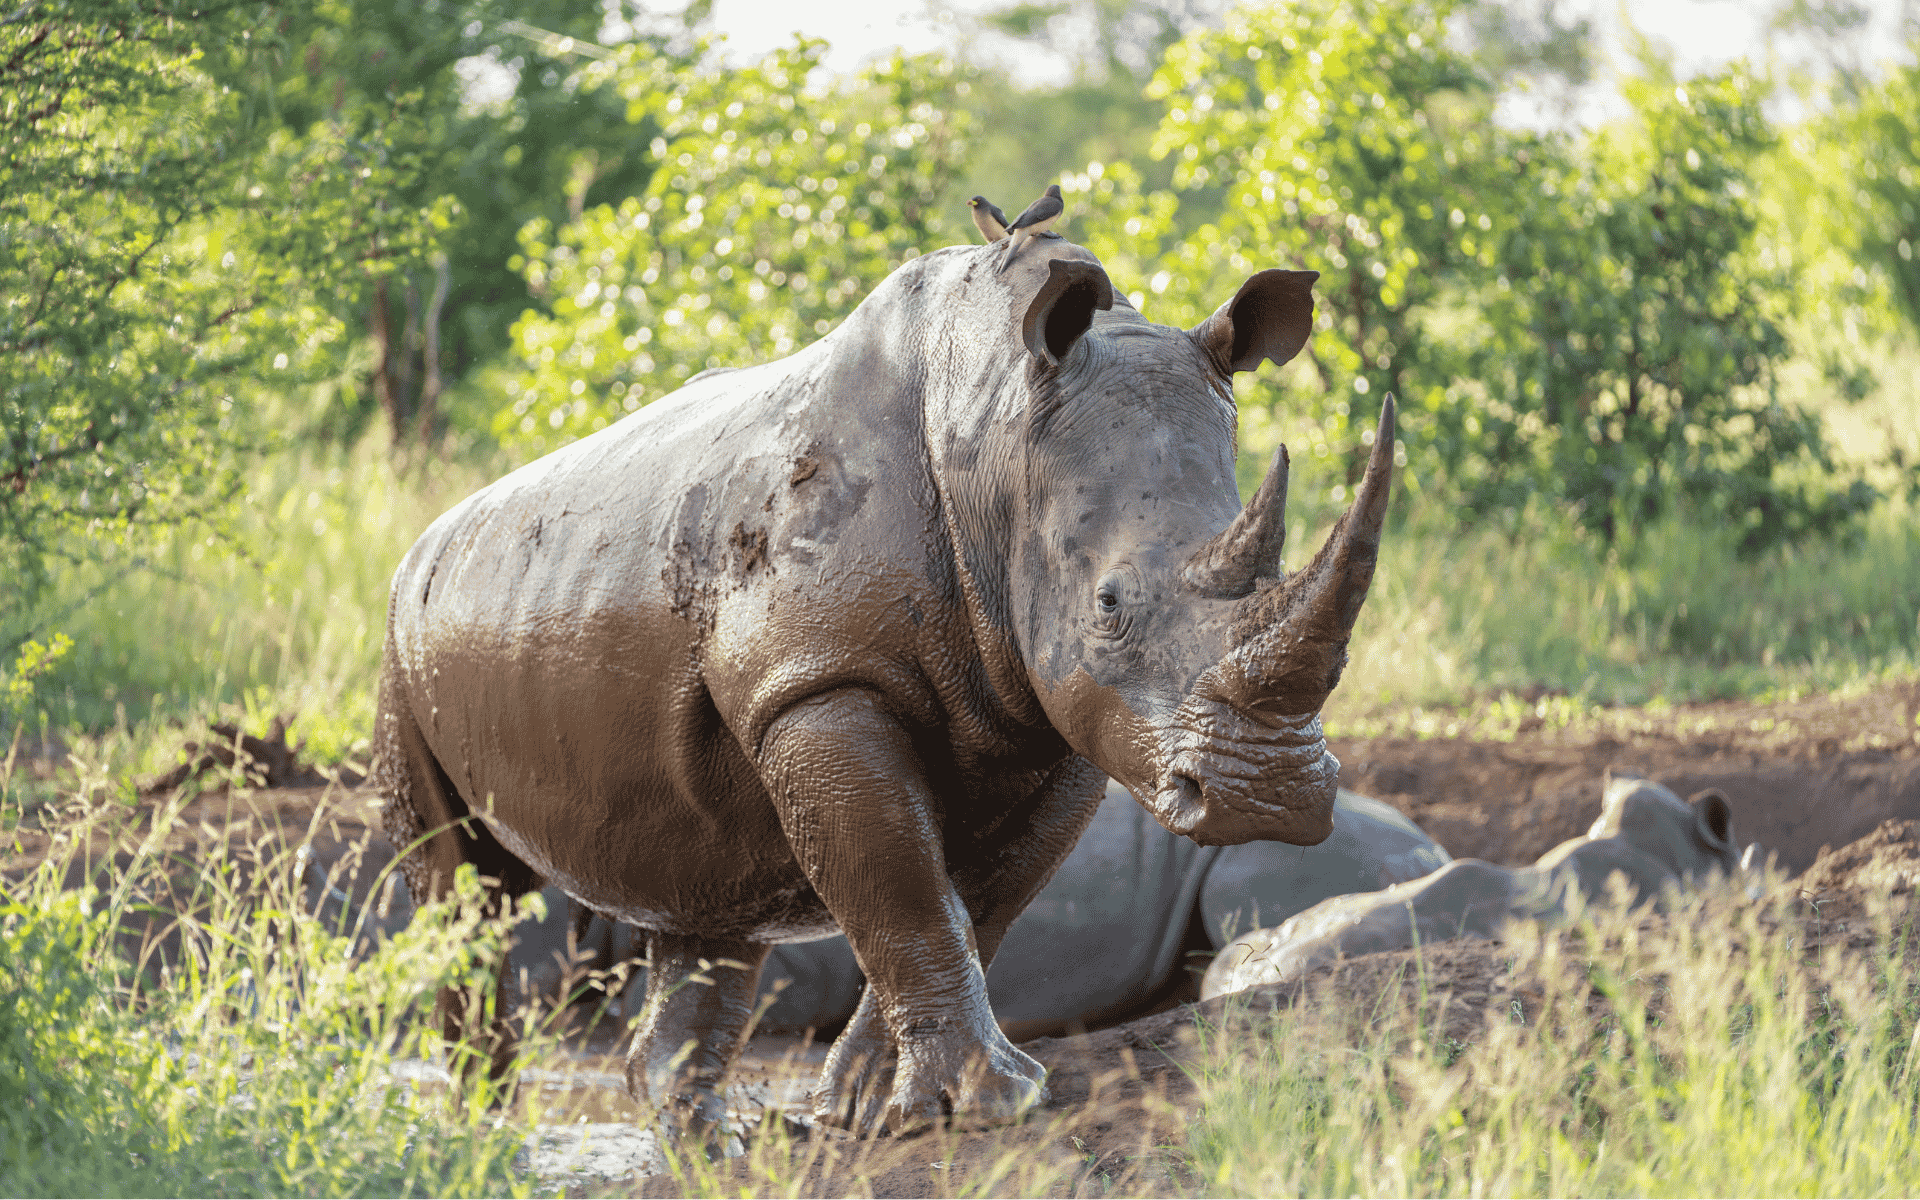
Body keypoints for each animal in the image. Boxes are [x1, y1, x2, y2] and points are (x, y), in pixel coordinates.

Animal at [373, 236, 1396, 1139]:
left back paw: (708, 1145)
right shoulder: (818, 684)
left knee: (704, 891)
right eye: (1108, 604)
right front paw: (990, 1104)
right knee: (464, 888)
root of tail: (430, 540)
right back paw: (483, 1129)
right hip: (401, 637)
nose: (1269, 796)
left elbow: (975, 902)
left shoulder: (1061, 712)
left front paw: (868, 1112)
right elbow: (902, 885)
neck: (998, 437)